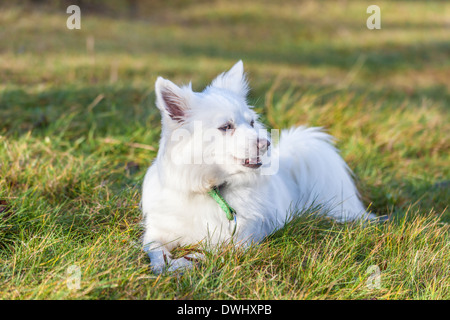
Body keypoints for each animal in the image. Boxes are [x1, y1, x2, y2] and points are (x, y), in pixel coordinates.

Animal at [141, 60, 372, 272]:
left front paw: (185, 262)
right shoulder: (157, 231)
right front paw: (165, 265)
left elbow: (206, 252)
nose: (266, 143)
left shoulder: (237, 242)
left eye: (251, 123)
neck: (212, 188)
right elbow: (154, 249)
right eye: (226, 127)